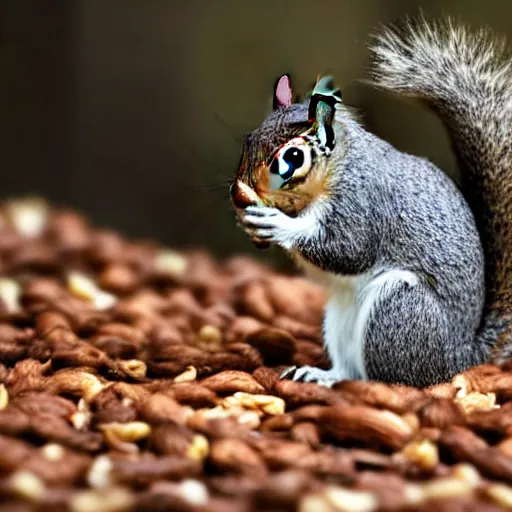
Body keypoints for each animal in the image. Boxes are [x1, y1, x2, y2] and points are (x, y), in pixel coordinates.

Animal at [230, 19, 512, 388]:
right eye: (249, 139)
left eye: (292, 158)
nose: (239, 192)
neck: (338, 168)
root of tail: (458, 360)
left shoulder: (362, 203)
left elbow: (348, 249)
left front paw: (277, 223)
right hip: (340, 318)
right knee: (350, 367)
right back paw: (322, 375)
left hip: (399, 309)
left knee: (391, 380)